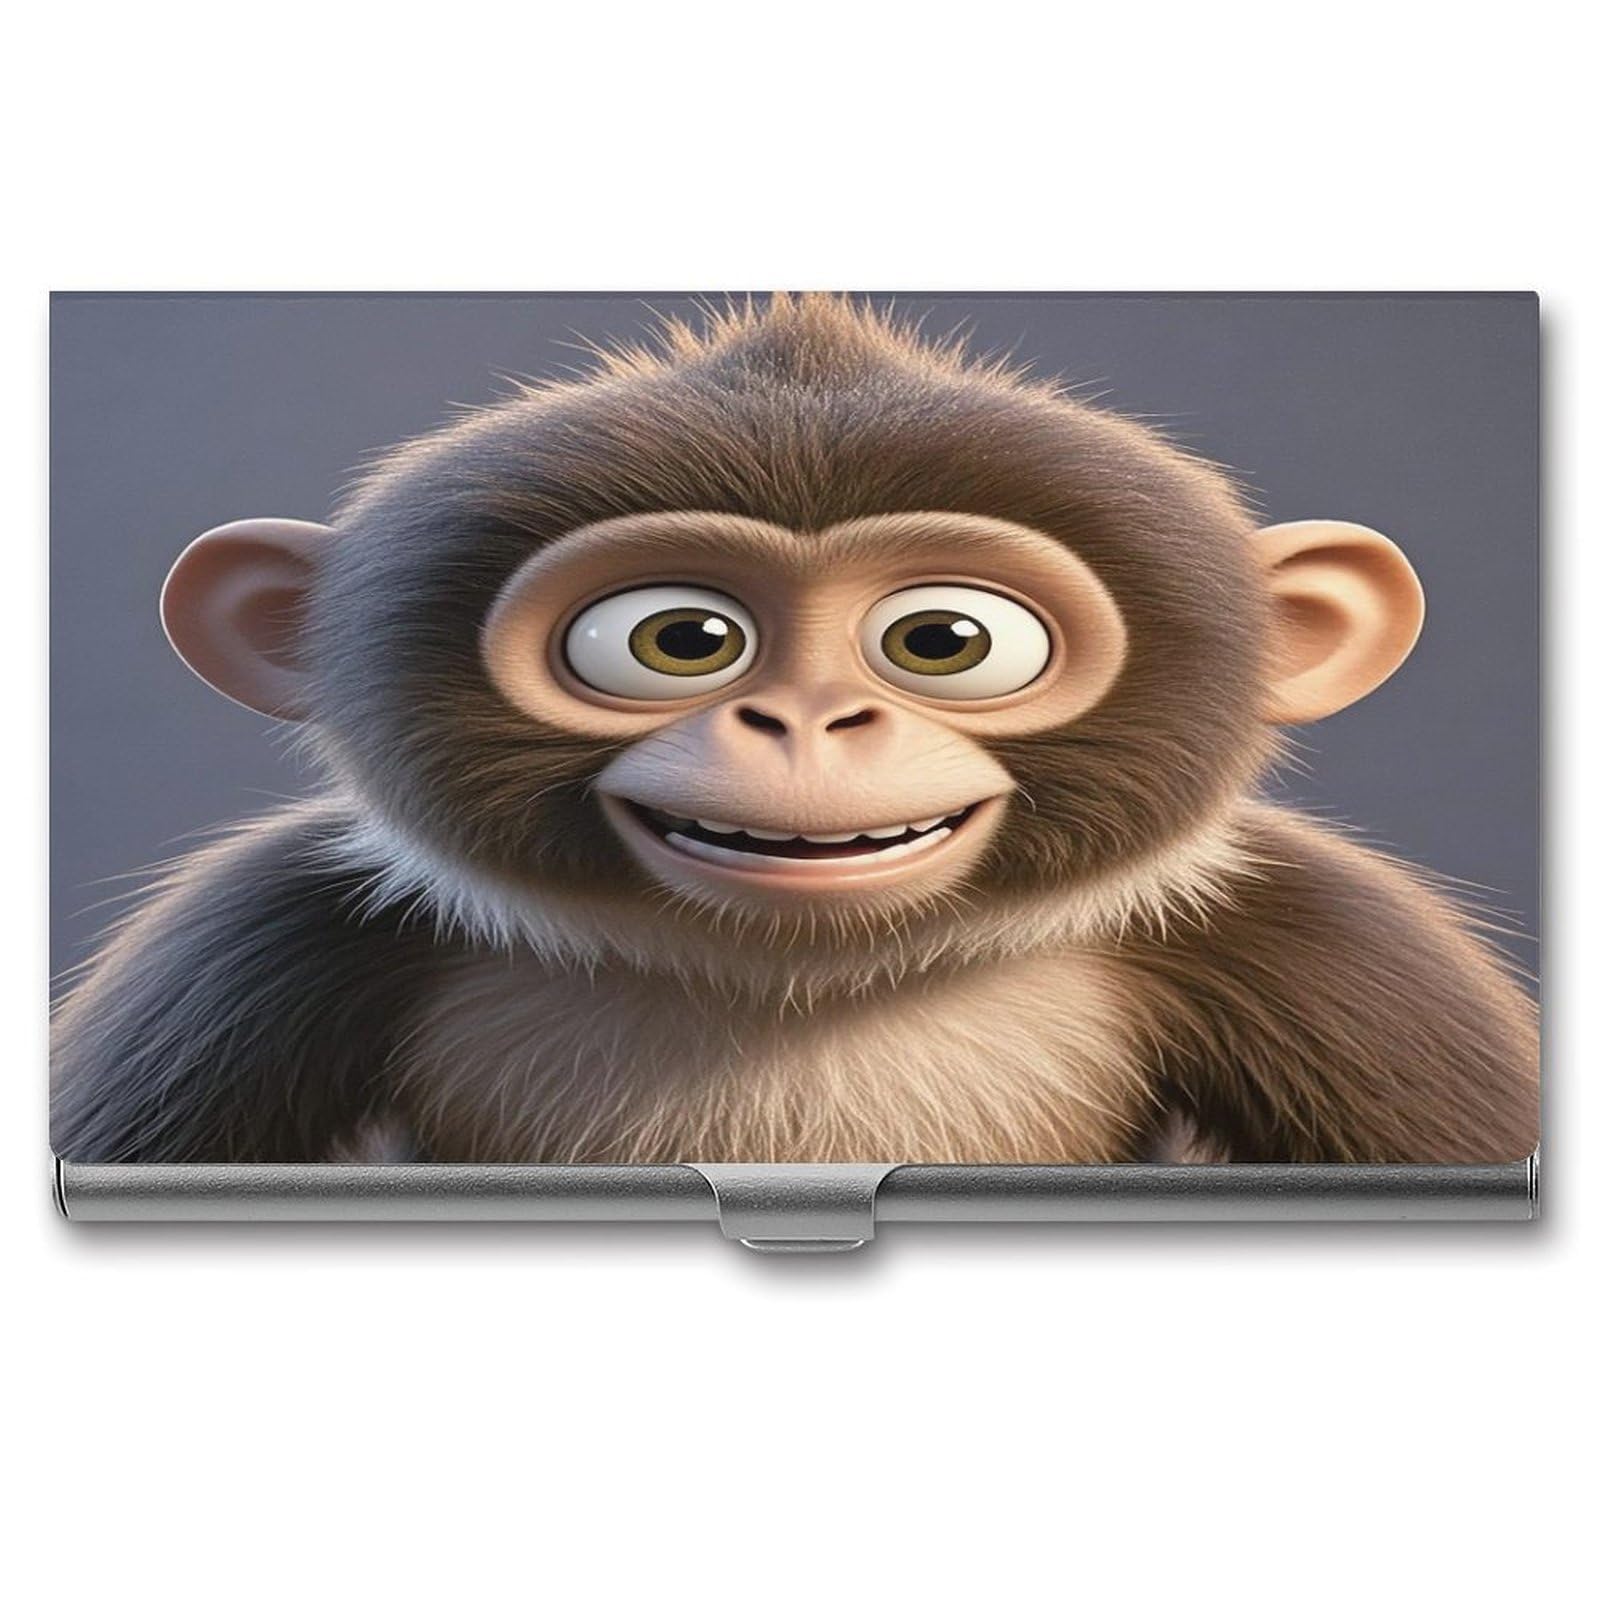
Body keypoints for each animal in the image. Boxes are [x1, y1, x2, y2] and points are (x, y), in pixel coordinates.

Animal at [50, 295, 1538, 1167]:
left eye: (945, 640)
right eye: (677, 639)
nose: (810, 717)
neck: (790, 988)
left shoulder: (1324, 944)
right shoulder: (260, 940)